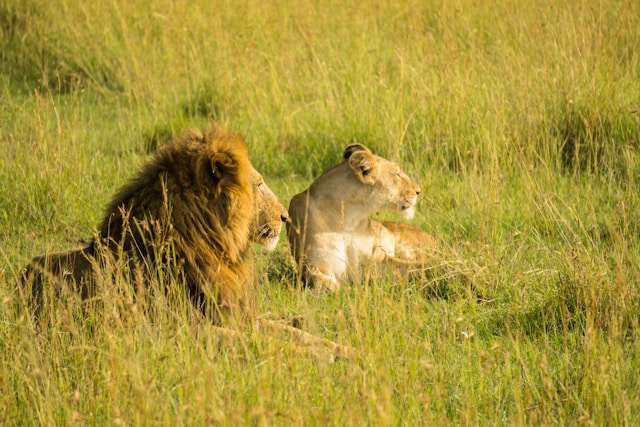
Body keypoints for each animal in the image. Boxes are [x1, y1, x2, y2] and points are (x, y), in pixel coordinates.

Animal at [288, 144, 436, 290]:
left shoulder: (377, 259)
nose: (419, 191)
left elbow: (415, 266)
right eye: (397, 174)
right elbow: (328, 285)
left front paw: (437, 268)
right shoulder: (315, 267)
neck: (348, 220)